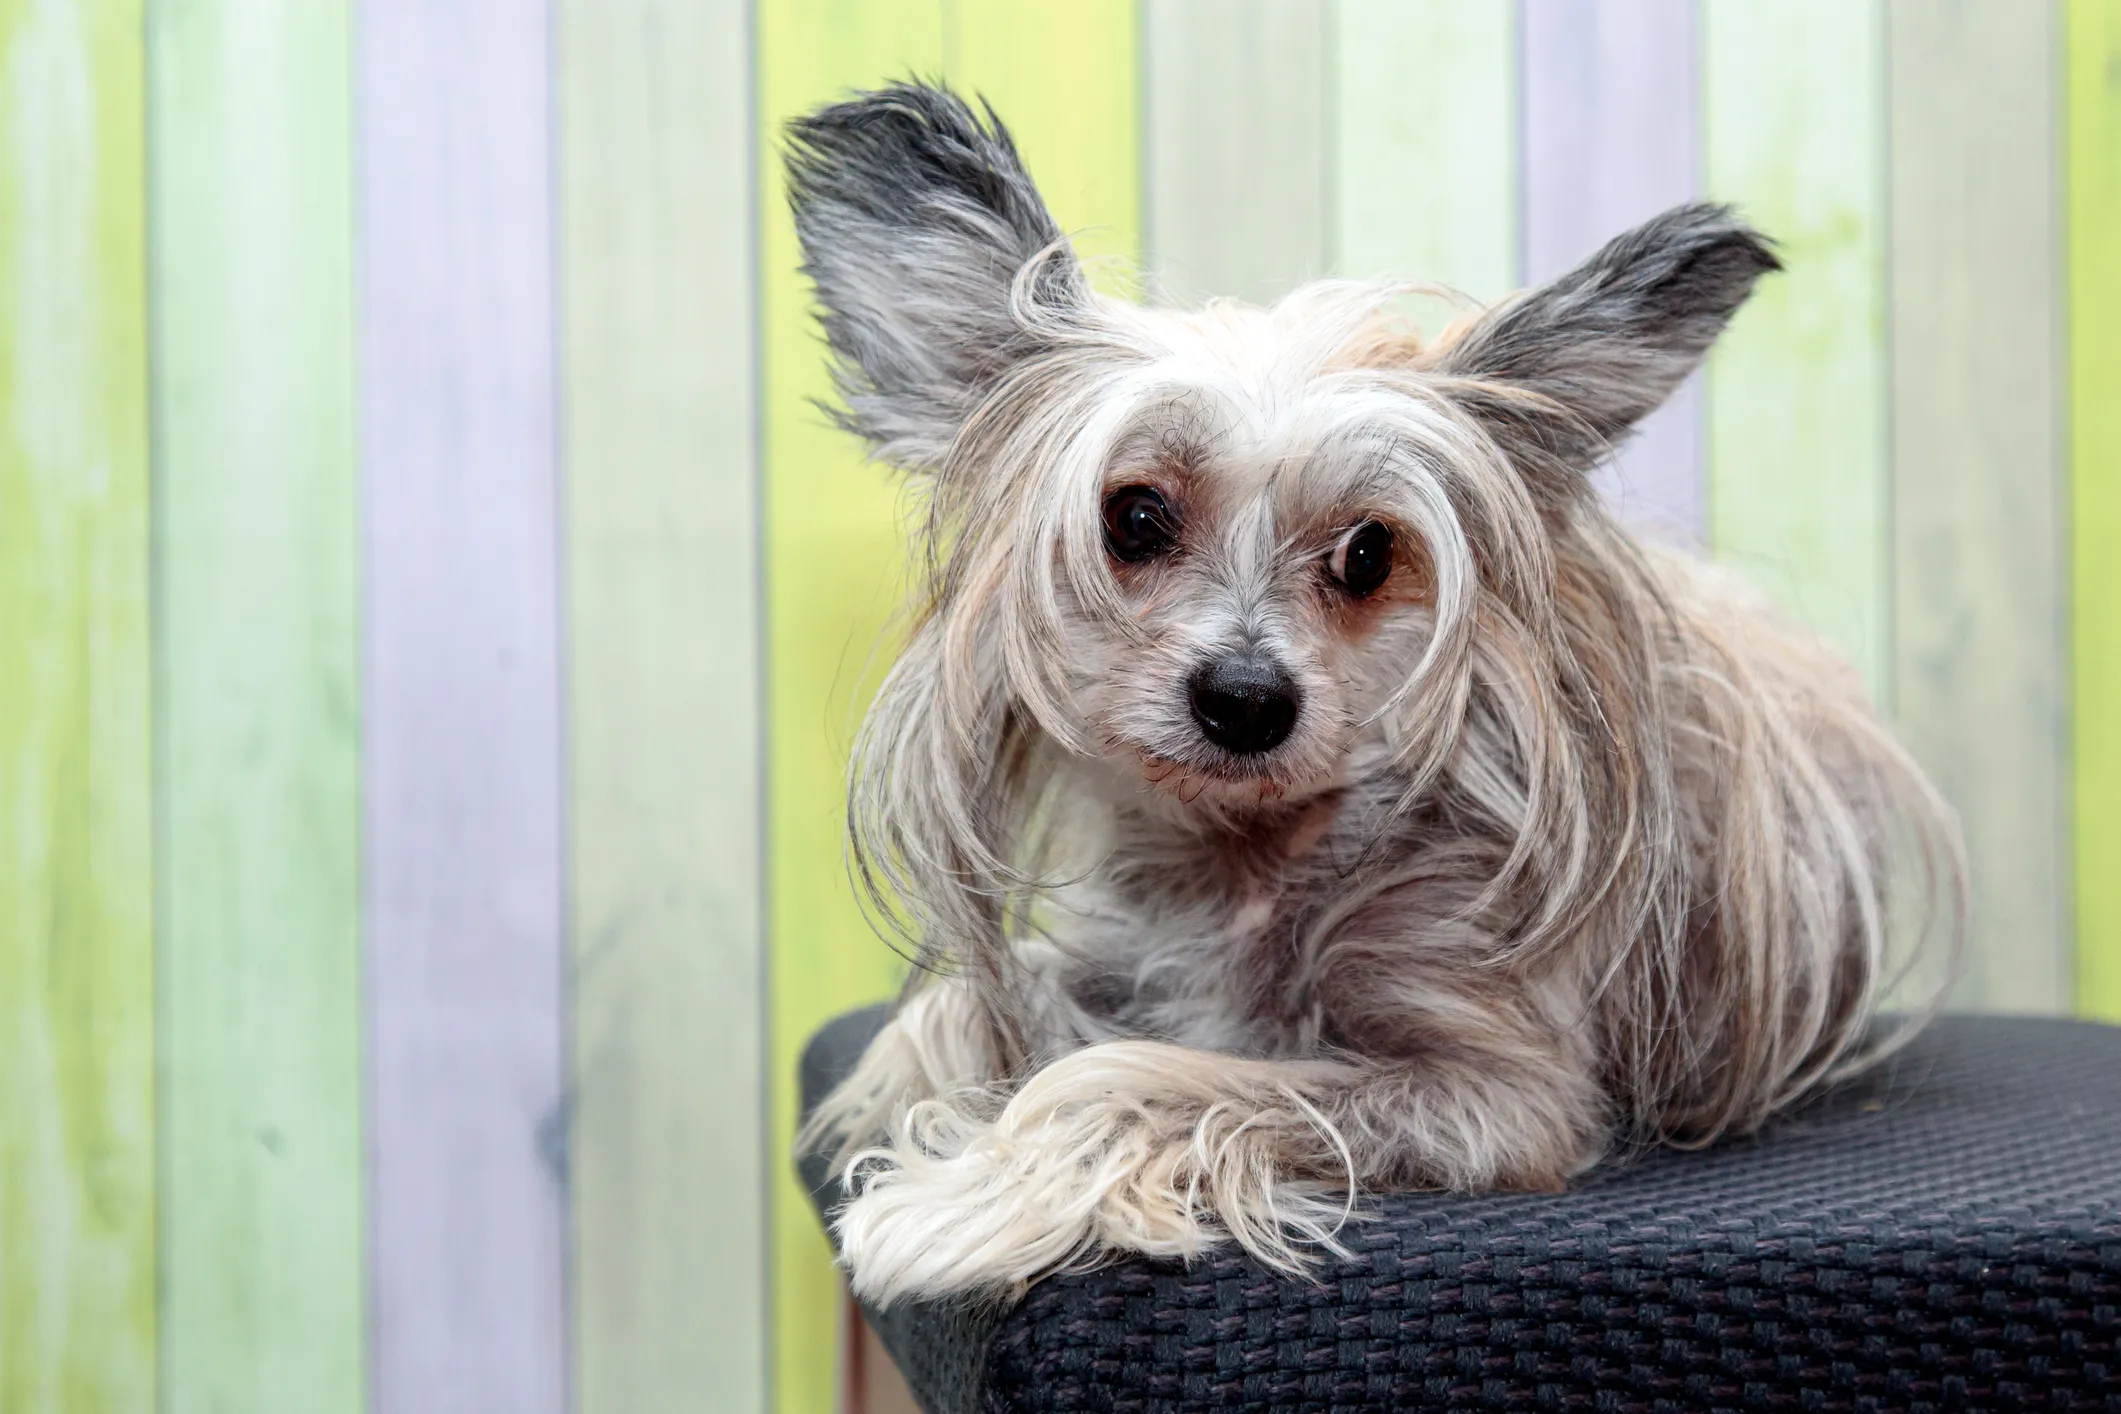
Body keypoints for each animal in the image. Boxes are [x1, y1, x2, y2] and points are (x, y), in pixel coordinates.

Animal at [797, 83, 1968, 1314]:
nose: (1248, 701)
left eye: (1369, 552)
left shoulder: (1494, 1090)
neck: (1254, 862)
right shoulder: (1108, 946)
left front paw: (961, 1197)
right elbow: (956, 1009)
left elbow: (1158, 1079)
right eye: (1134, 517)